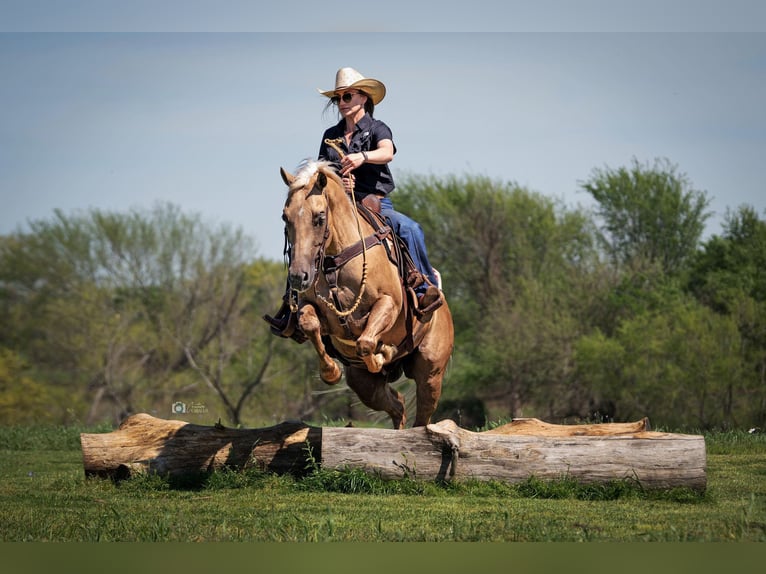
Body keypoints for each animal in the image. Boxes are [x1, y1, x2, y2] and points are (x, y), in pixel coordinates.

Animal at [280, 160, 452, 430]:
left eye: (319, 217)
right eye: (285, 217)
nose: (299, 276)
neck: (335, 261)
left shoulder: (388, 303)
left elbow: (366, 342)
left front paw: (383, 353)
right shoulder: (312, 306)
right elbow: (310, 324)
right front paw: (331, 371)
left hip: (431, 373)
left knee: (422, 415)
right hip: (364, 384)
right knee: (398, 405)